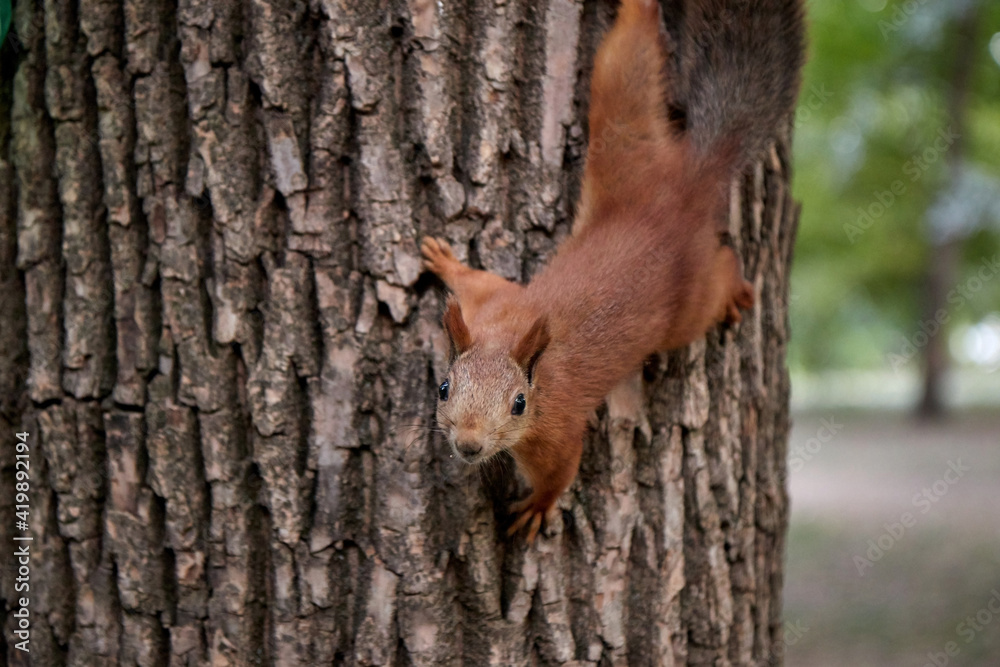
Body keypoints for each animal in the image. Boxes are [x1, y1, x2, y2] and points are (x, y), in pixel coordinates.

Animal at [422, 0, 804, 542]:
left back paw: (735, 292)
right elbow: (480, 281)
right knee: (628, 64)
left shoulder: (556, 431)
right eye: (444, 387)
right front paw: (444, 259)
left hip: (688, 302)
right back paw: (636, 9)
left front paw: (538, 507)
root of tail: (689, 184)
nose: (469, 446)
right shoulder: (499, 301)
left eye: (518, 404)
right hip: (625, 136)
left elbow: (560, 474)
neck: (510, 341)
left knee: (723, 271)